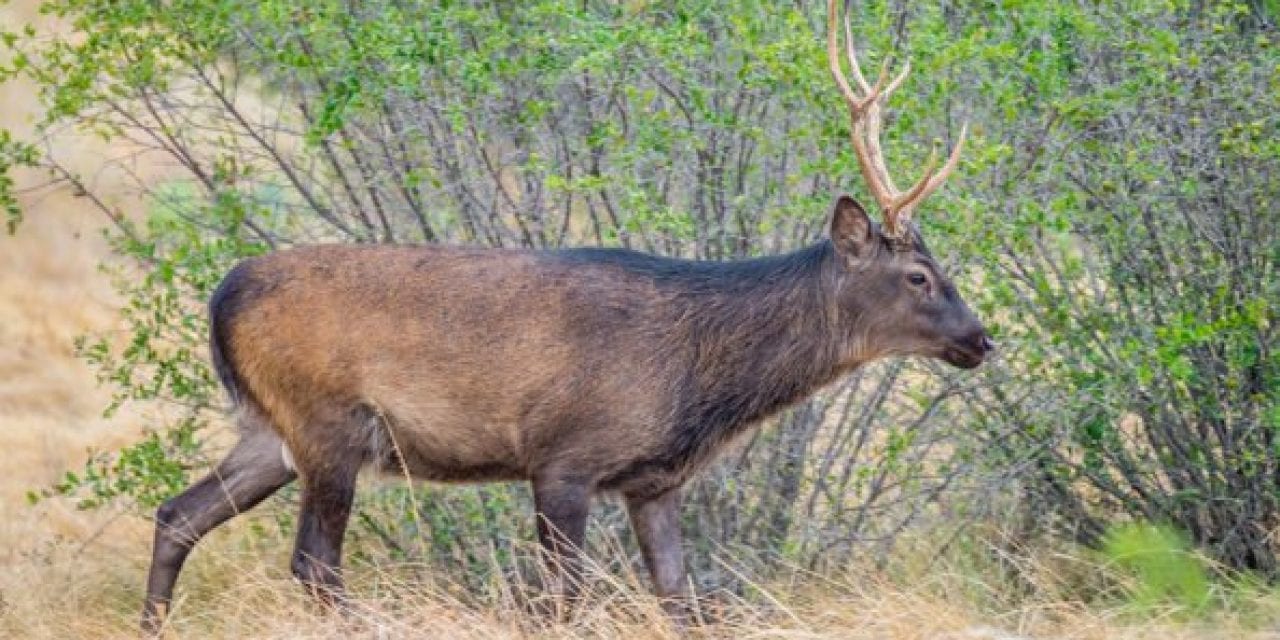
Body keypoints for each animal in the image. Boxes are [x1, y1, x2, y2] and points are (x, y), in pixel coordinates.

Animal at [142, 0, 988, 629]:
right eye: (919, 276)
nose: (982, 339)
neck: (698, 376)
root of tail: (221, 297)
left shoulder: (653, 482)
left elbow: (680, 601)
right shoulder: (563, 456)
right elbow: (562, 601)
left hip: (270, 431)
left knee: (176, 514)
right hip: (328, 422)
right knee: (315, 563)